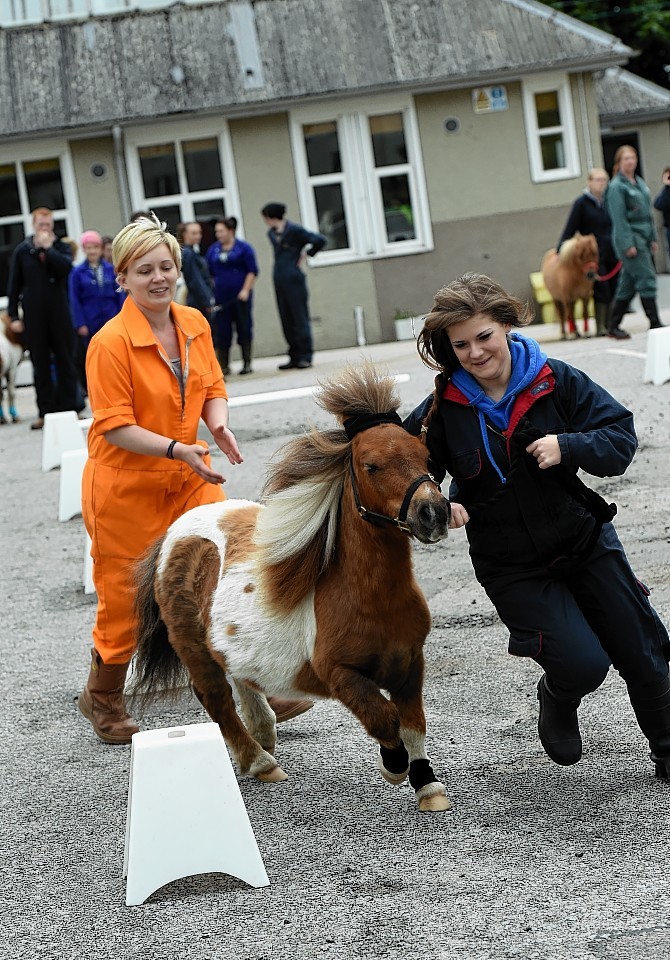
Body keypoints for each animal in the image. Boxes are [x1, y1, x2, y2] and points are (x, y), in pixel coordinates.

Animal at [134, 364, 454, 812]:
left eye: (427, 458)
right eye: (371, 466)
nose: (433, 513)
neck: (372, 598)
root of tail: (174, 532)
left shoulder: (410, 663)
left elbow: (413, 724)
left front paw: (427, 785)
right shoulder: (340, 675)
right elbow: (384, 718)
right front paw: (394, 767)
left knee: (241, 682)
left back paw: (263, 734)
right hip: (192, 647)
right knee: (215, 696)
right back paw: (259, 761)